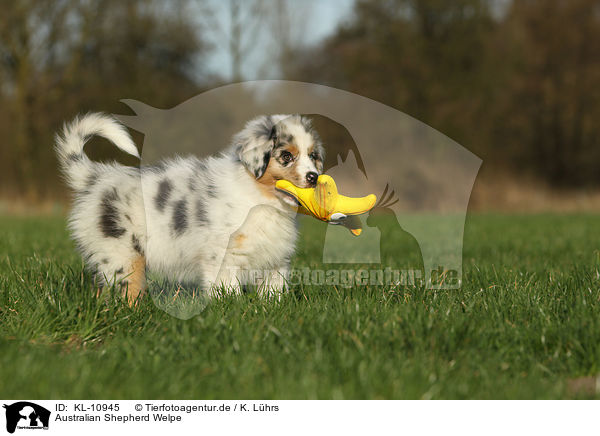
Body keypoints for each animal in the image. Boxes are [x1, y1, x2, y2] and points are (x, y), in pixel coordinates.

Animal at [56, 113, 326, 304]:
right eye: (286, 156)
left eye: (313, 156)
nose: (314, 177)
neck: (260, 198)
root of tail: (96, 177)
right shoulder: (224, 257)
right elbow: (228, 291)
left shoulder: (276, 260)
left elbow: (273, 293)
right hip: (121, 255)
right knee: (124, 293)